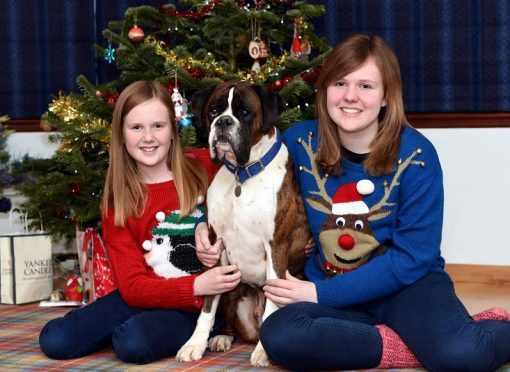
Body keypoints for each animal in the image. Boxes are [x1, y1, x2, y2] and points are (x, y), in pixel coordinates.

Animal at [175, 80, 310, 368]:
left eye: (245, 112)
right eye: (213, 111)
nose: (224, 122)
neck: (242, 175)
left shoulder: (276, 247)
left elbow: (273, 305)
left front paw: (264, 352)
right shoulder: (215, 245)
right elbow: (207, 307)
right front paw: (194, 344)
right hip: (232, 287)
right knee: (229, 321)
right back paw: (221, 338)